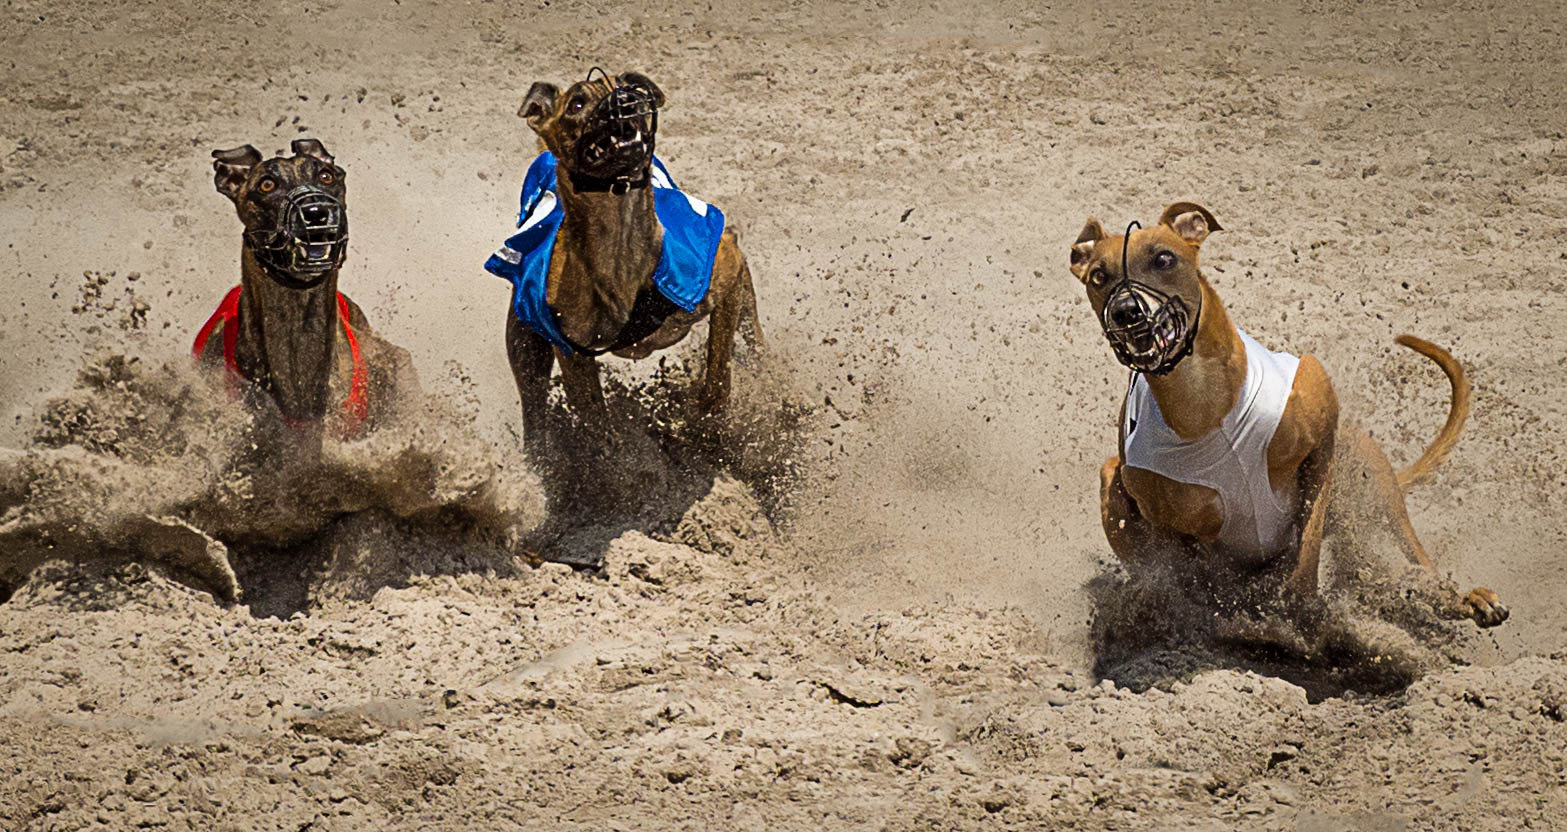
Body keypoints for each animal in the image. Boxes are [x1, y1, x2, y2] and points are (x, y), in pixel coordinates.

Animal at [482, 69, 764, 454]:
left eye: (628, 87)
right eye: (577, 103)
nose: (625, 99)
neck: (623, 248)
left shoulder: (727, 266)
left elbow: (719, 370)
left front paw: (708, 425)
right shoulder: (570, 350)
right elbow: (596, 422)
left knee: (754, 341)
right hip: (525, 344)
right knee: (534, 406)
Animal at [1065, 203, 1504, 626]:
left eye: (1163, 258)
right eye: (1099, 276)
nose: (1126, 312)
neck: (1206, 405)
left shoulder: (1322, 445)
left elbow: (1308, 545)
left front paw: (1300, 605)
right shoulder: (1165, 520)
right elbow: (1188, 571)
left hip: (1372, 478)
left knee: (1408, 551)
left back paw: (1457, 598)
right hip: (1112, 476)